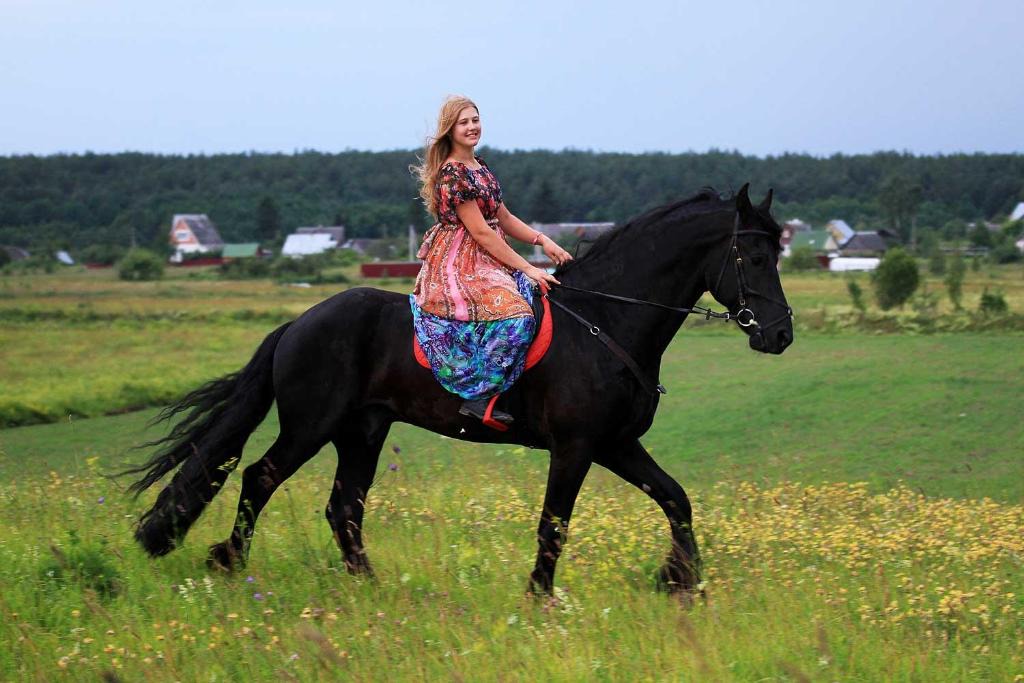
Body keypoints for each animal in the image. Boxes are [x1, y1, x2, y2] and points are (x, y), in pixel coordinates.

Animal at [123, 183, 793, 597]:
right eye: (756, 258)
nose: (781, 334)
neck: (606, 320)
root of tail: (298, 323)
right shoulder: (576, 447)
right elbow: (555, 524)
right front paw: (540, 599)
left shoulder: (615, 445)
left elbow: (676, 499)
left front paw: (681, 581)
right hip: (312, 425)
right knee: (259, 477)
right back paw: (229, 562)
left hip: (362, 431)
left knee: (343, 506)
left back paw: (370, 587)